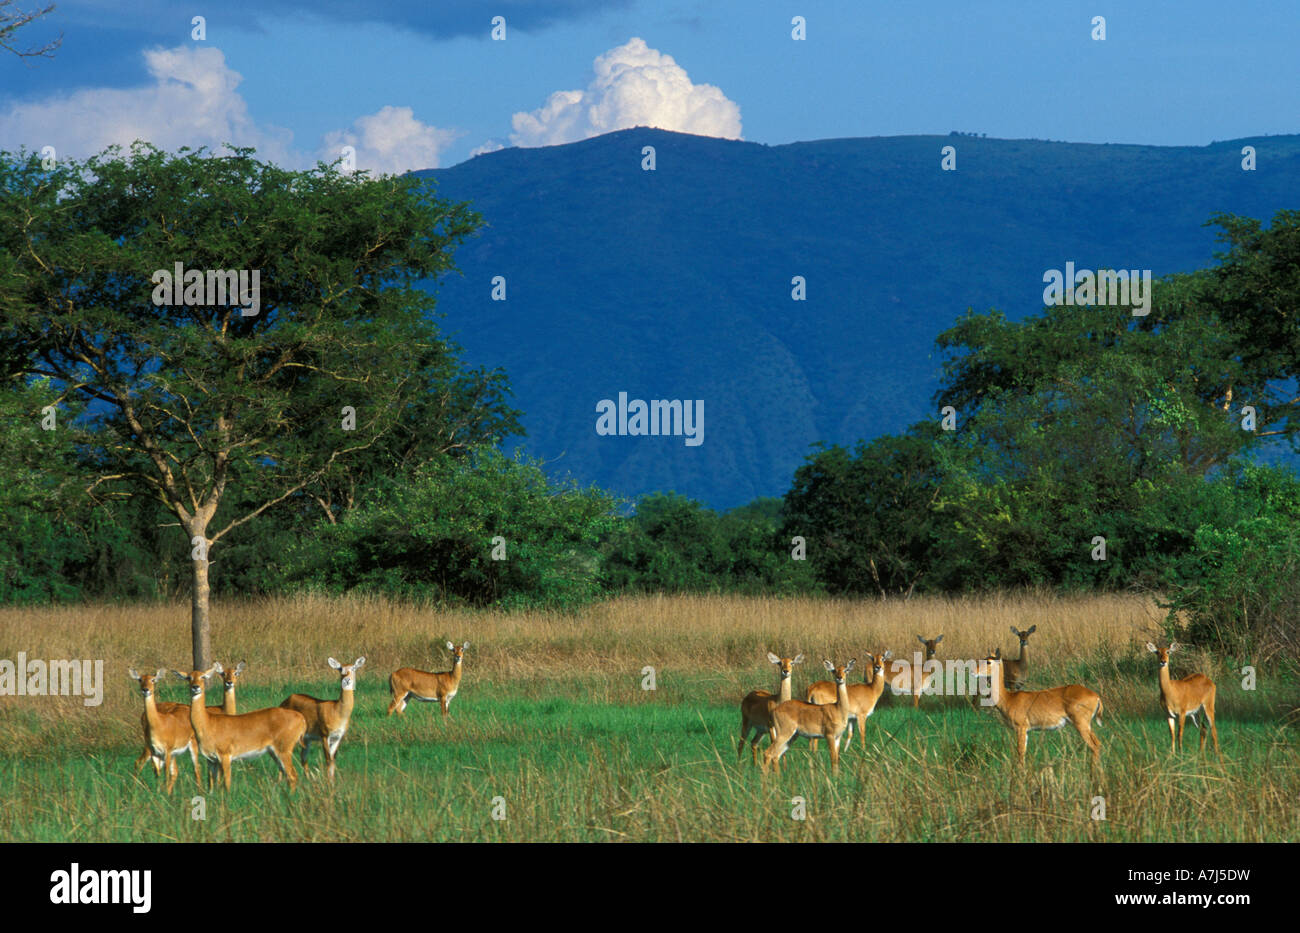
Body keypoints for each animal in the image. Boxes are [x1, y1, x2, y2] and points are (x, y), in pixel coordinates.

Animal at [172, 662, 306, 795]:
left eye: (203, 676)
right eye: (189, 677)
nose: (196, 687)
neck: (207, 723)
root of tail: (301, 718)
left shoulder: (225, 756)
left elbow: (226, 784)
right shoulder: (211, 760)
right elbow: (212, 786)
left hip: (284, 750)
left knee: (293, 775)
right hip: (274, 752)